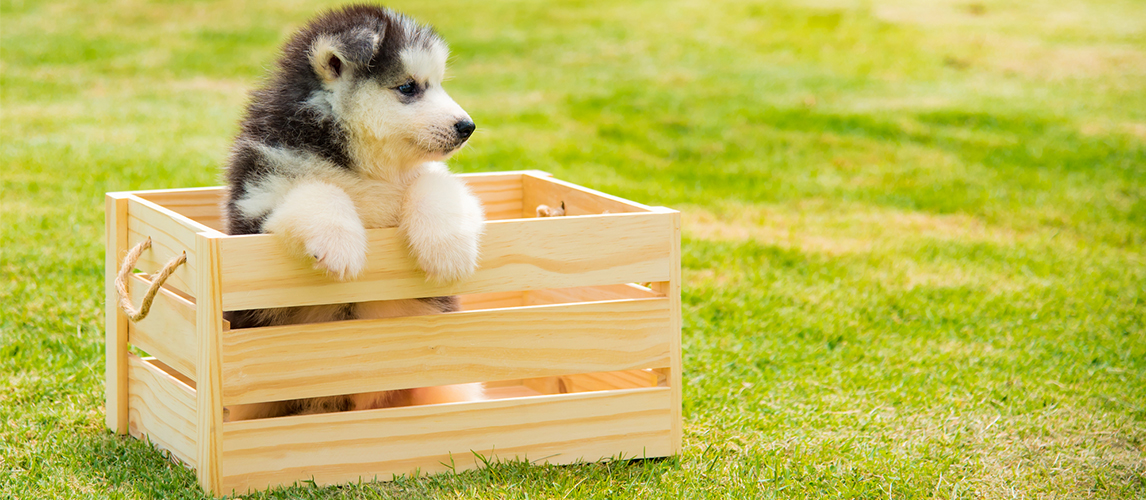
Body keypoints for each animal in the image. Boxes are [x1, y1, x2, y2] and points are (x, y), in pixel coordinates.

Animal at [222, 3, 483, 419]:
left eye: (438, 83)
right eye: (409, 87)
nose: (467, 126)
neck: (367, 169)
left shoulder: (434, 178)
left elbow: (437, 187)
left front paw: (448, 251)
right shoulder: (256, 201)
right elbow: (318, 189)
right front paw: (340, 246)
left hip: (446, 388)